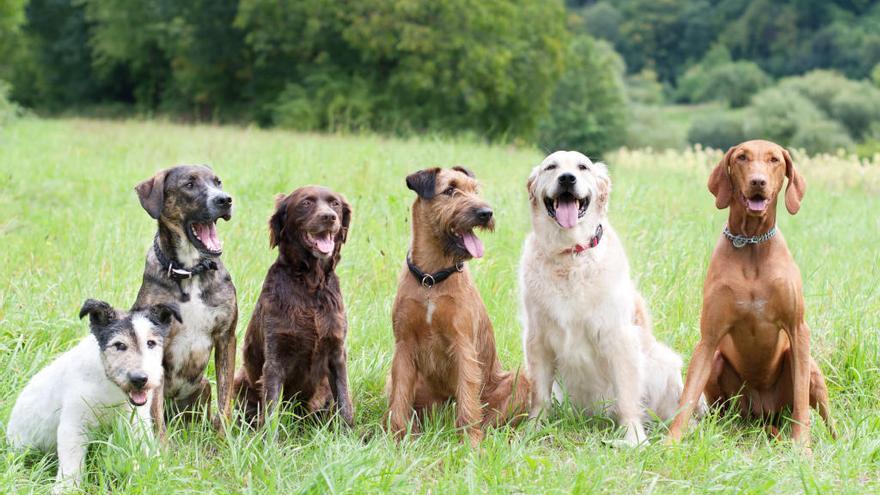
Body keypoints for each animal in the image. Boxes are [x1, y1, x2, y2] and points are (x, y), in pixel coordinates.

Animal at [133, 165, 237, 436]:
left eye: (218, 182)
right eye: (189, 185)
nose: (225, 200)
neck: (190, 271)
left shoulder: (226, 337)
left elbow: (225, 398)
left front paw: (225, 440)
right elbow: (155, 414)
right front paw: (160, 445)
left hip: (203, 387)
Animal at [386, 169, 528, 448]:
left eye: (475, 189)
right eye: (450, 190)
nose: (486, 213)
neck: (431, 278)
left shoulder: (463, 344)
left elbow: (468, 400)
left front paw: (471, 444)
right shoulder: (404, 346)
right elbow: (399, 399)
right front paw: (397, 439)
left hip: (521, 381)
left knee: (491, 418)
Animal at [672, 140, 836, 450]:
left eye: (774, 160)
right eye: (742, 157)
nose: (757, 182)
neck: (750, 243)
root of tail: (765, 416)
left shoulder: (798, 330)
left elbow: (801, 405)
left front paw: (802, 448)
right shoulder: (708, 338)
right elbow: (686, 399)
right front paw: (669, 443)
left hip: (808, 368)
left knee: (824, 416)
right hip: (720, 369)